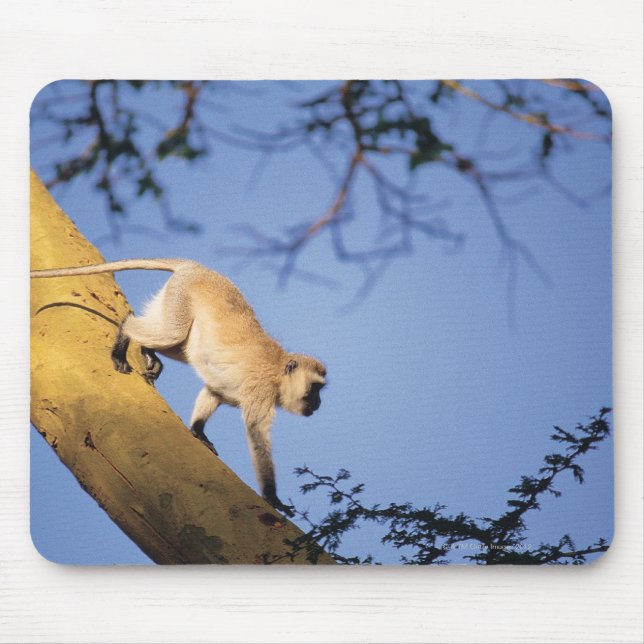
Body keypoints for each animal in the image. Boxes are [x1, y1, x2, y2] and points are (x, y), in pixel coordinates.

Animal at [31, 259, 327, 517]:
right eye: (315, 389)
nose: (319, 404)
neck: (277, 372)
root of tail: (197, 267)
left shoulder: (230, 388)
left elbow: (213, 391)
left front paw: (198, 430)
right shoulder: (261, 390)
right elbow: (257, 434)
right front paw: (273, 498)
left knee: (181, 343)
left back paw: (147, 351)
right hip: (180, 297)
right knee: (171, 333)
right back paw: (125, 335)